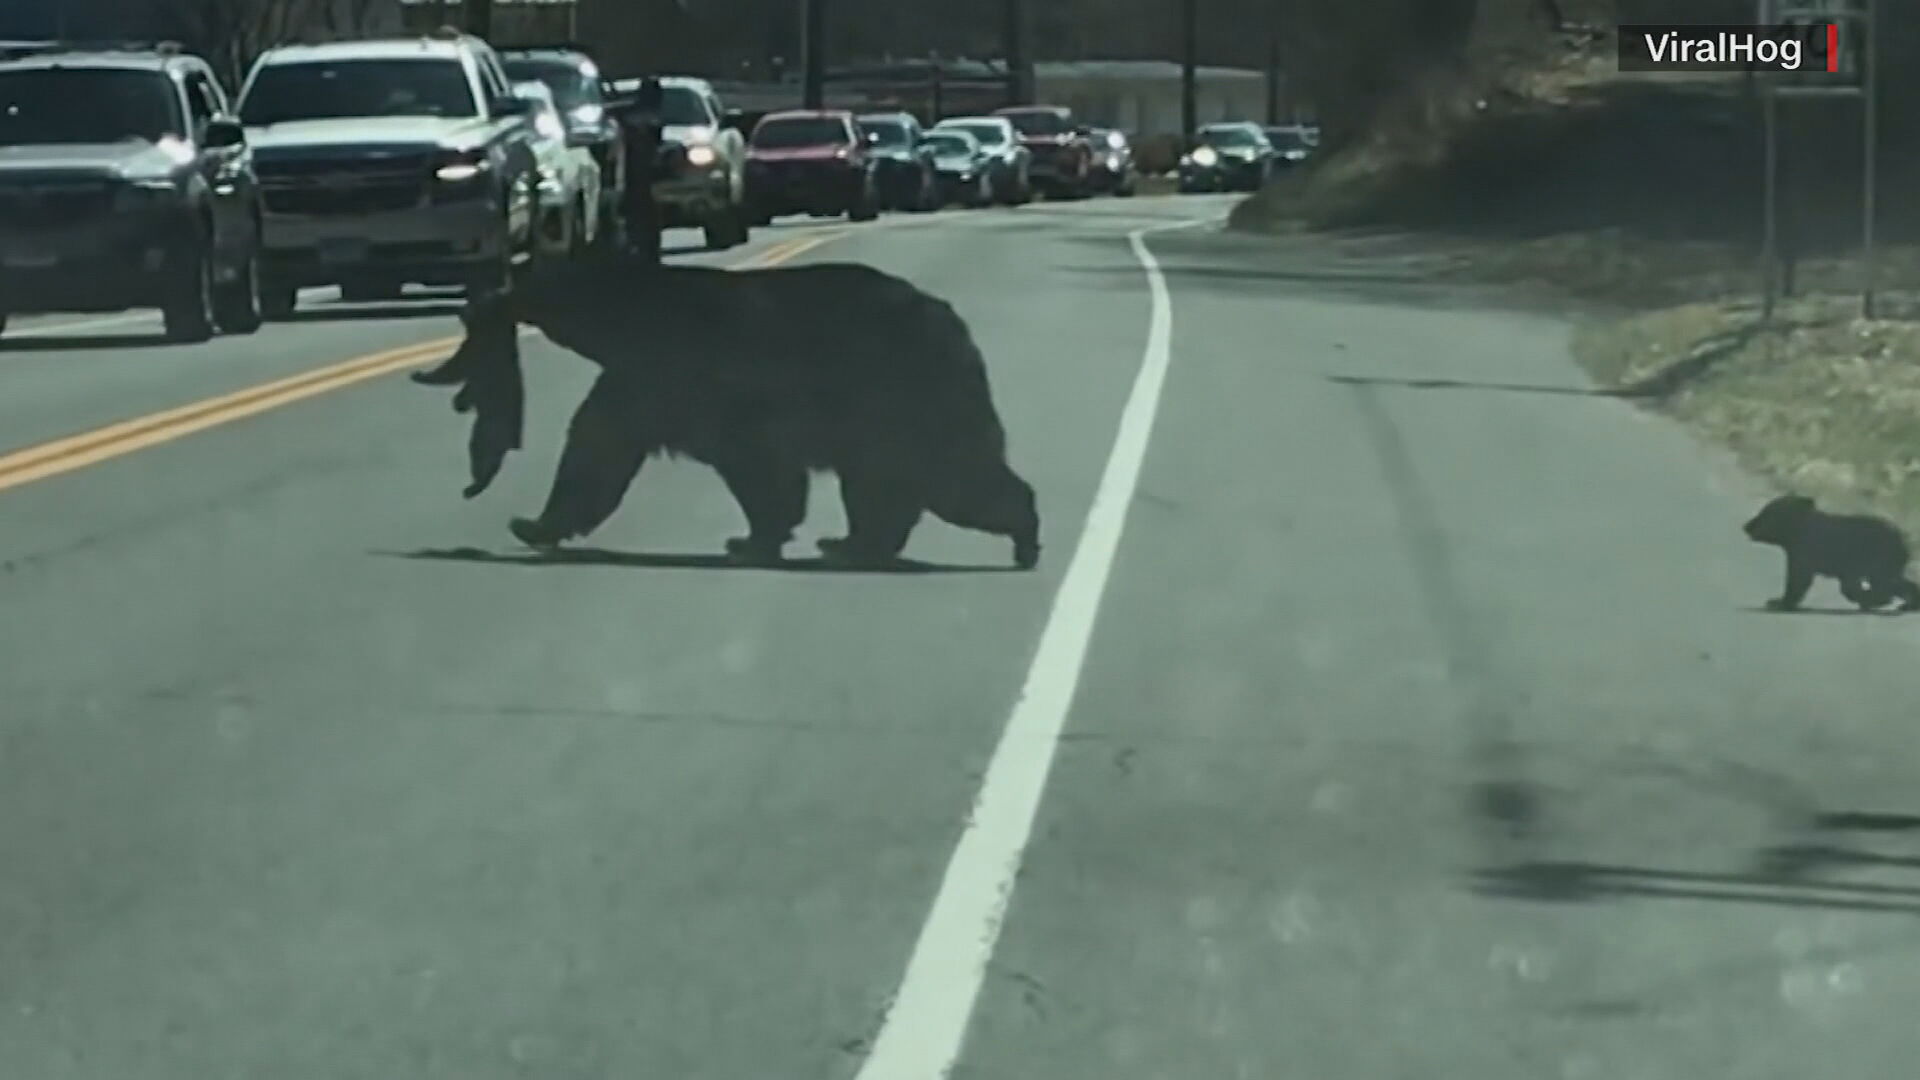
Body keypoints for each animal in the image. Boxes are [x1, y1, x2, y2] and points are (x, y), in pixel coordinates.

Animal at [416, 259, 1036, 568]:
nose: (486, 300)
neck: (629, 317)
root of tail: (955, 325)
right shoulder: (647, 379)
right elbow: (601, 442)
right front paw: (539, 521)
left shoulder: (695, 379)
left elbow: (751, 467)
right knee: (884, 487)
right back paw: (853, 543)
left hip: (905, 397)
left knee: (953, 476)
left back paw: (1023, 532)